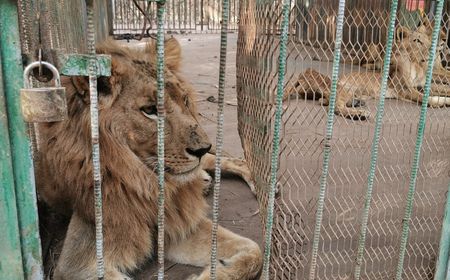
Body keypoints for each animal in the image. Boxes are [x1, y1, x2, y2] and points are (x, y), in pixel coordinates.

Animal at [37, 37, 262, 280]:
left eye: (184, 100)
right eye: (150, 110)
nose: (203, 148)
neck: (145, 182)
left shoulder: (180, 223)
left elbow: (255, 250)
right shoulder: (76, 263)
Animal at [284, 21, 450, 120]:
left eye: (428, 40)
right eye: (417, 41)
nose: (433, 49)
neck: (416, 64)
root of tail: (302, 77)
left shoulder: (422, 85)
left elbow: (442, 88)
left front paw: (445, 98)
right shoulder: (404, 89)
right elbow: (426, 98)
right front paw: (440, 102)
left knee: (324, 101)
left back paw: (357, 103)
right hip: (344, 88)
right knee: (336, 107)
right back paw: (360, 114)